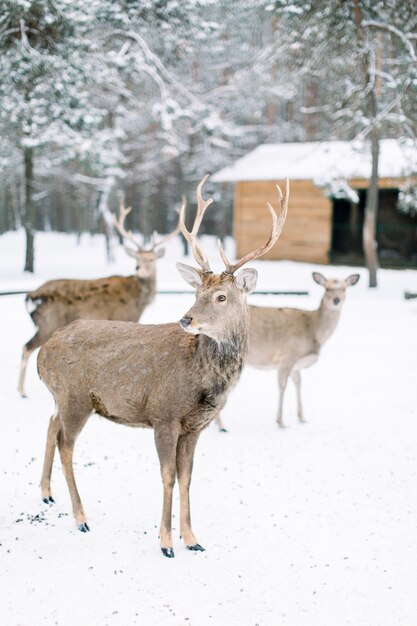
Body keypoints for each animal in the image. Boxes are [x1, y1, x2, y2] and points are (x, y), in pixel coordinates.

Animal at [17, 200, 179, 394]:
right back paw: (22, 391)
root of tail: (31, 296)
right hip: (49, 322)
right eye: (137, 257)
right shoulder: (125, 316)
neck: (139, 298)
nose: (138, 268)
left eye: (152, 259)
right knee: (26, 347)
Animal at [37, 174, 288, 556]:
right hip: (75, 396)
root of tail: (43, 353)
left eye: (221, 296)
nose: (186, 318)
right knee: (67, 444)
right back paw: (81, 518)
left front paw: (193, 539)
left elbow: (187, 477)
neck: (202, 382)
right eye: (196, 292)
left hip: (62, 399)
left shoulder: (195, 427)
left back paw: (46, 494)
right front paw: (166, 542)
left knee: (51, 425)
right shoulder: (164, 414)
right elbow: (168, 476)